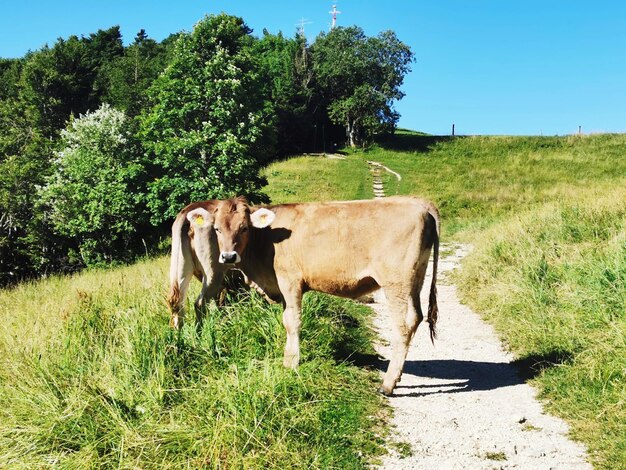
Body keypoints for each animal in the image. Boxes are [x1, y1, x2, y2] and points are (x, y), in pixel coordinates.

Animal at [167, 196, 438, 396]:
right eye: (216, 229)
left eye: (244, 228)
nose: (228, 257)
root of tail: (418, 202)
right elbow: (286, 319)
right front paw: (289, 355)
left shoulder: (290, 280)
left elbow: (292, 320)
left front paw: (291, 362)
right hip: (415, 279)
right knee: (416, 317)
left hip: (396, 283)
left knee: (403, 325)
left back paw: (388, 384)